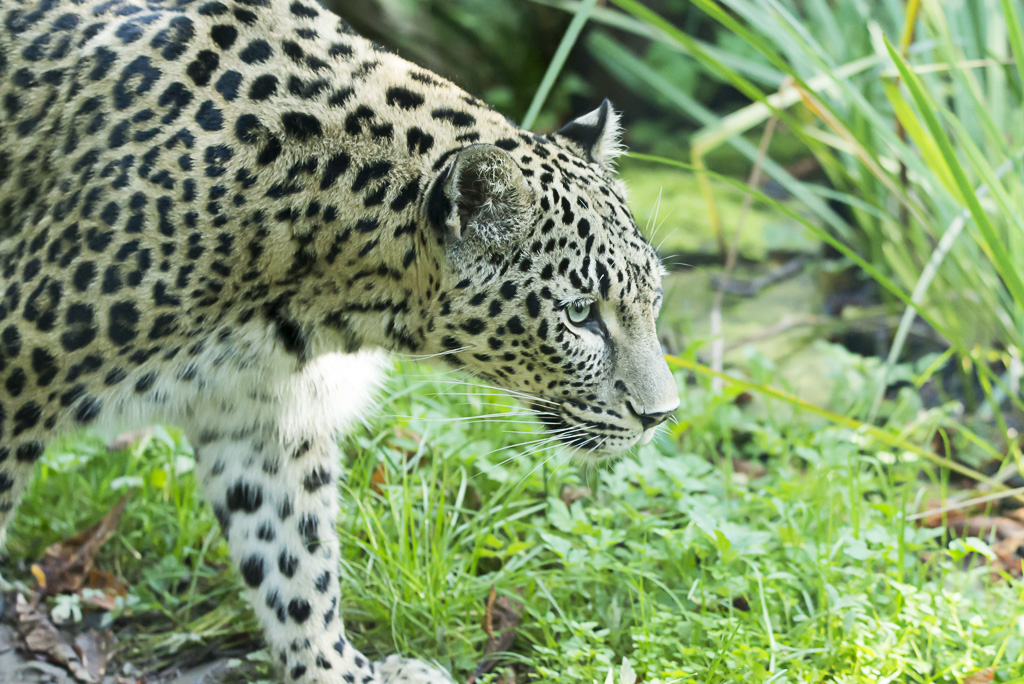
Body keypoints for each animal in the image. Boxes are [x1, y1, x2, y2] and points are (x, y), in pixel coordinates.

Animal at [0, 0, 680, 681]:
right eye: (580, 314)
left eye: (655, 298)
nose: (662, 414)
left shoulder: (262, 414)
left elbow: (293, 559)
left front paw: (337, 669)